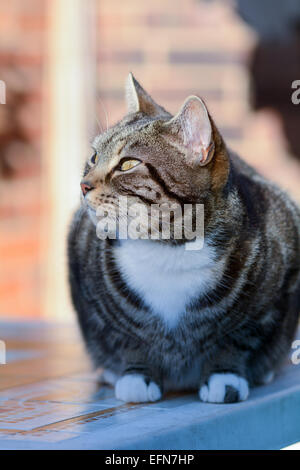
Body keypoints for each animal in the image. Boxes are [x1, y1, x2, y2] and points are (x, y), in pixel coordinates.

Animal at [68, 73, 300, 404]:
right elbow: (126, 337)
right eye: (94, 156)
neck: (168, 246)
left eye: (128, 164)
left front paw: (226, 377)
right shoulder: (95, 300)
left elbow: (237, 340)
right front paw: (135, 375)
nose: (83, 185)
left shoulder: (268, 304)